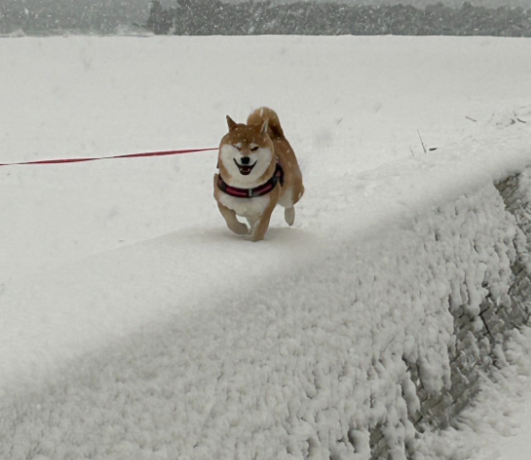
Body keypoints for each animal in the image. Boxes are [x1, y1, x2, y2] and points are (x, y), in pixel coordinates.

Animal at [212, 107, 304, 241]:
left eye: (254, 148)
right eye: (237, 147)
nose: (245, 159)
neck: (245, 186)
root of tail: (277, 137)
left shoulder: (266, 208)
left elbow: (259, 230)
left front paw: (253, 241)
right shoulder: (222, 200)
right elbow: (230, 221)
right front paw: (242, 229)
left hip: (289, 192)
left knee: (291, 202)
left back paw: (289, 217)